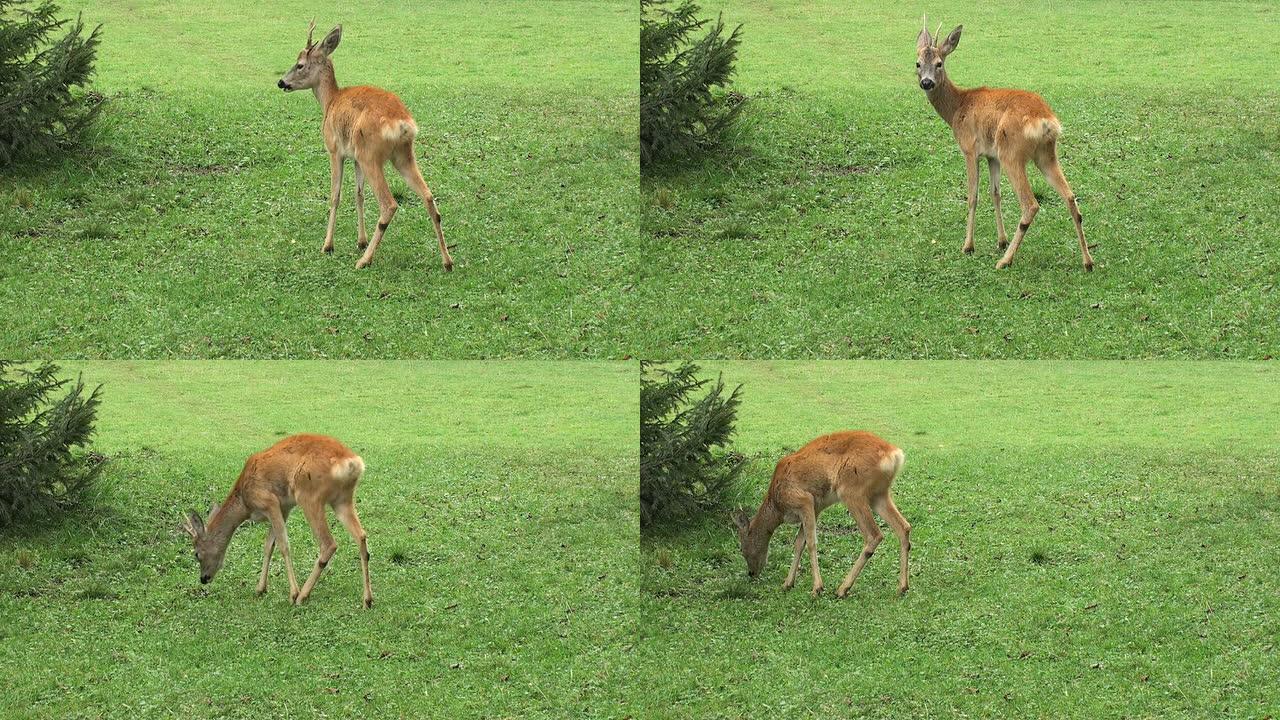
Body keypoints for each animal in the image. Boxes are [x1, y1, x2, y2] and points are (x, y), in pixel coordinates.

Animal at [179, 430, 373, 604]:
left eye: (196, 554)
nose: (204, 578)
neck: (245, 501)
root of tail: (352, 462)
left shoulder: (269, 501)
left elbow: (283, 544)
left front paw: (292, 593)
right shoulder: (283, 507)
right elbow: (268, 545)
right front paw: (260, 588)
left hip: (309, 496)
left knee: (329, 543)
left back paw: (302, 596)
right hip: (342, 499)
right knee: (361, 536)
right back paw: (367, 600)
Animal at [279, 20, 455, 271]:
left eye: (300, 64)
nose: (281, 82)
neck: (330, 101)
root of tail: (403, 123)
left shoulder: (335, 150)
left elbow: (335, 195)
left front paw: (328, 245)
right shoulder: (354, 158)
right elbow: (359, 194)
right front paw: (360, 241)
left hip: (371, 155)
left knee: (389, 204)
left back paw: (364, 260)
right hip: (402, 156)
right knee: (429, 197)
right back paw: (447, 261)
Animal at [732, 430, 911, 594]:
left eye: (741, 548)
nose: (751, 573)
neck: (777, 505)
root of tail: (895, 454)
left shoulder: (804, 500)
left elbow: (811, 542)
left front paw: (817, 588)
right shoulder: (815, 508)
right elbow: (799, 543)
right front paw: (787, 583)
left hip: (851, 491)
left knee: (874, 535)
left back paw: (842, 589)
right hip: (878, 494)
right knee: (904, 526)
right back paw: (902, 587)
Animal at [916, 16, 1095, 270]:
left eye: (939, 63)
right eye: (918, 63)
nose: (926, 82)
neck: (957, 108)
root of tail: (1046, 120)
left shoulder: (970, 149)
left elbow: (973, 196)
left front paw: (968, 246)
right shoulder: (992, 156)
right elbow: (995, 193)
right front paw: (1001, 240)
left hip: (1012, 153)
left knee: (1031, 204)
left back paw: (1005, 261)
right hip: (1045, 154)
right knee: (1070, 197)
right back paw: (1088, 261)